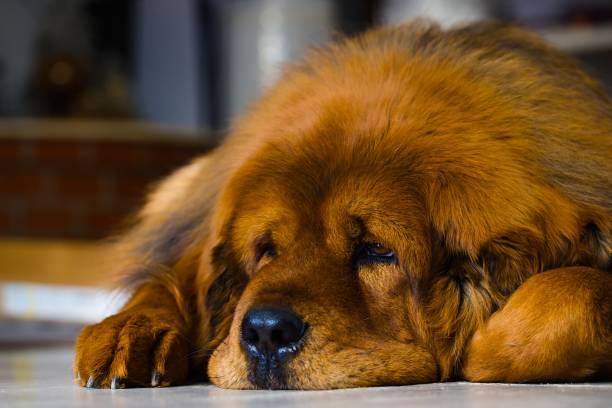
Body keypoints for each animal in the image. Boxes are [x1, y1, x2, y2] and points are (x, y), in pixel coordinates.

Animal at [75, 21, 612, 388]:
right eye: (266, 250)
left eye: (377, 250)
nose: (265, 332)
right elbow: (172, 279)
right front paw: (134, 332)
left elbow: (573, 293)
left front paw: (481, 347)